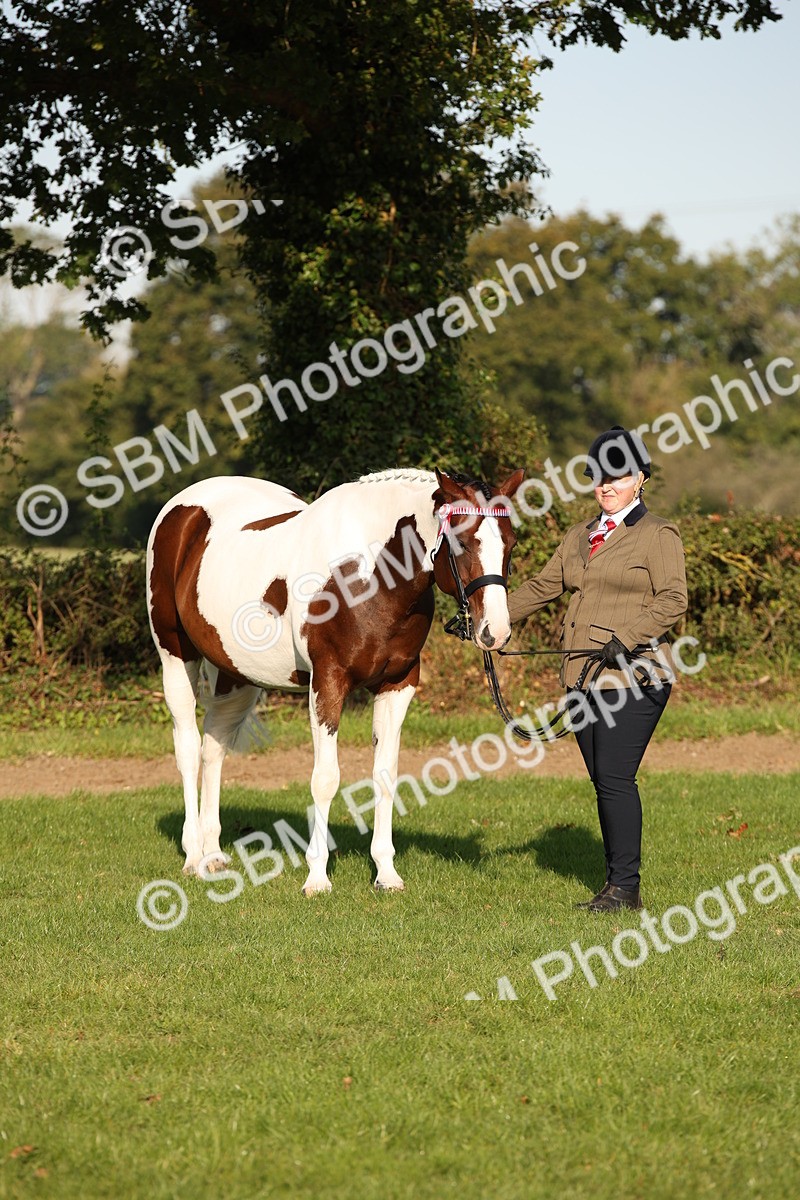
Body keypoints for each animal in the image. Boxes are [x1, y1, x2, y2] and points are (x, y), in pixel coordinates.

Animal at [146, 466, 523, 895]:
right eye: (460, 542)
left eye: (511, 543)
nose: (496, 632)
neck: (367, 575)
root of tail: (183, 506)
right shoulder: (327, 681)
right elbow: (325, 779)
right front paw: (317, 877)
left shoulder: (398, 684)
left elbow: (385, 775)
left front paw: (386, 872)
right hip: (175, 655)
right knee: (189, 749)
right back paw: (194, 856)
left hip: (236, 674)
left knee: (214, 748)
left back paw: (213, 855)